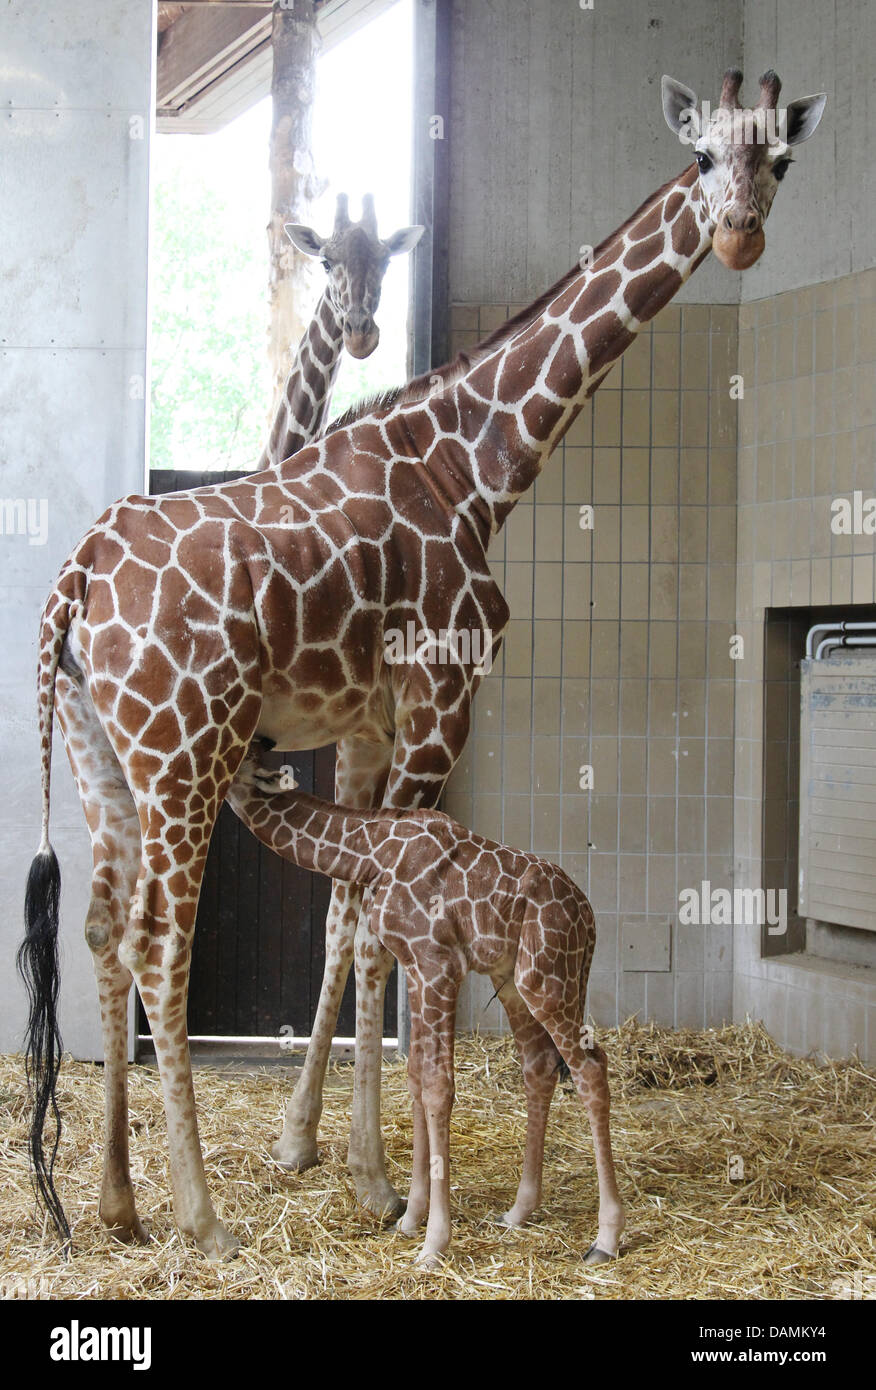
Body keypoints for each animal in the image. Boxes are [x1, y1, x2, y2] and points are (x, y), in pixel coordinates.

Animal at [240, 750, 625, 1273]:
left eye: (234, 764)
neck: (372, 854)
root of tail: (589, 921)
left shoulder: (437, 963)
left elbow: (439, 1088)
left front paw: (433, 1244)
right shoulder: (416, 965)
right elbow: (417, 1080)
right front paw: (409, 1220)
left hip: (547, 980)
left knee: (589, 1069)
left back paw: (605, 1238)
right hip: (512, 982)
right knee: (540, 1065)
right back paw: (518, 1212)